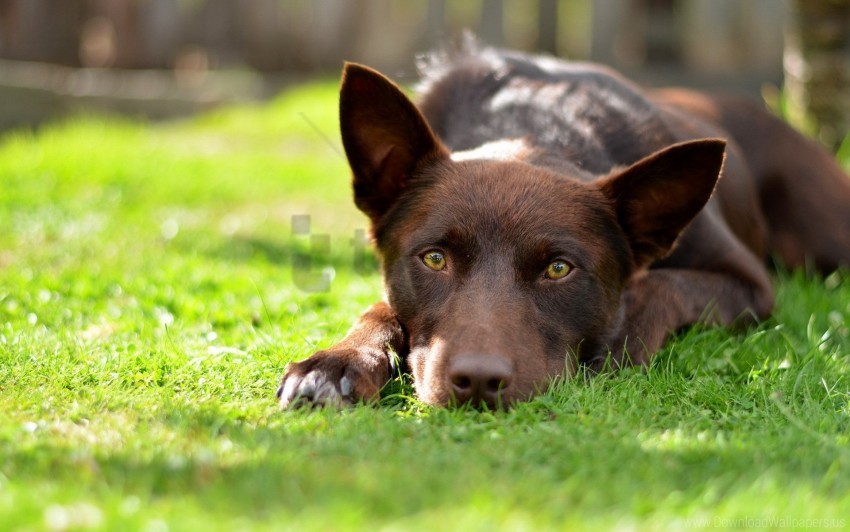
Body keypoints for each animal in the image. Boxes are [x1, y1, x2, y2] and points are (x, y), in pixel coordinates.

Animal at [278, 45, 848, 410]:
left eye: (558, 269)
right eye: (434, 258)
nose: (477, 381)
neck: (535, 125)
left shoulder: (749, 284)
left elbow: (662, 286)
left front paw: (620, 339)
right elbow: (380, 309)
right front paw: (337, 362)